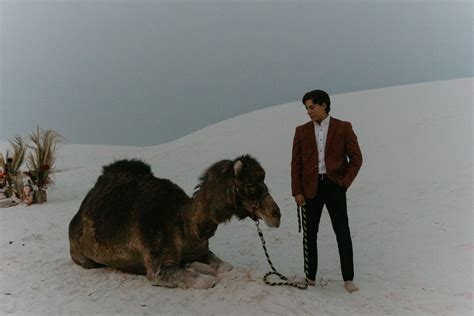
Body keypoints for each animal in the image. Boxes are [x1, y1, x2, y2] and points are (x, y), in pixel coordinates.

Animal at [68, 156, 280, 288]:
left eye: (263, 181)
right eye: (250, 185)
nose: (276, 215)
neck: (185, 223)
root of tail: (75, 218)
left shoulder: (201, 250)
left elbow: (226, 267)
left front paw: (198, 265)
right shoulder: (158, 268)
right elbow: (207, 281)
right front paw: (200, 271)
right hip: (84, 258)